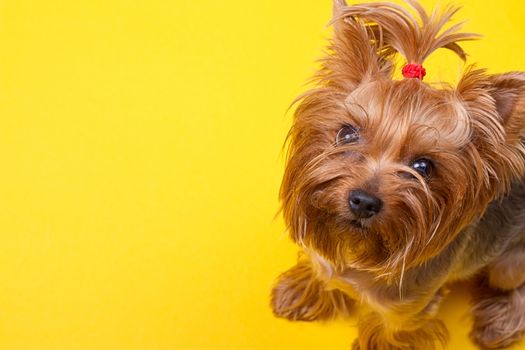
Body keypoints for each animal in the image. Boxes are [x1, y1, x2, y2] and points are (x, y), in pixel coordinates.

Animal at [270, 1, 524, 348]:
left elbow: (392, 330)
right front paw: (303, 289)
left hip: (509, 264)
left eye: (423, 166)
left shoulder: (406, 308)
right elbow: (323, 270)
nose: (363, 201)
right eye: (346, 134)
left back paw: (499, 323)